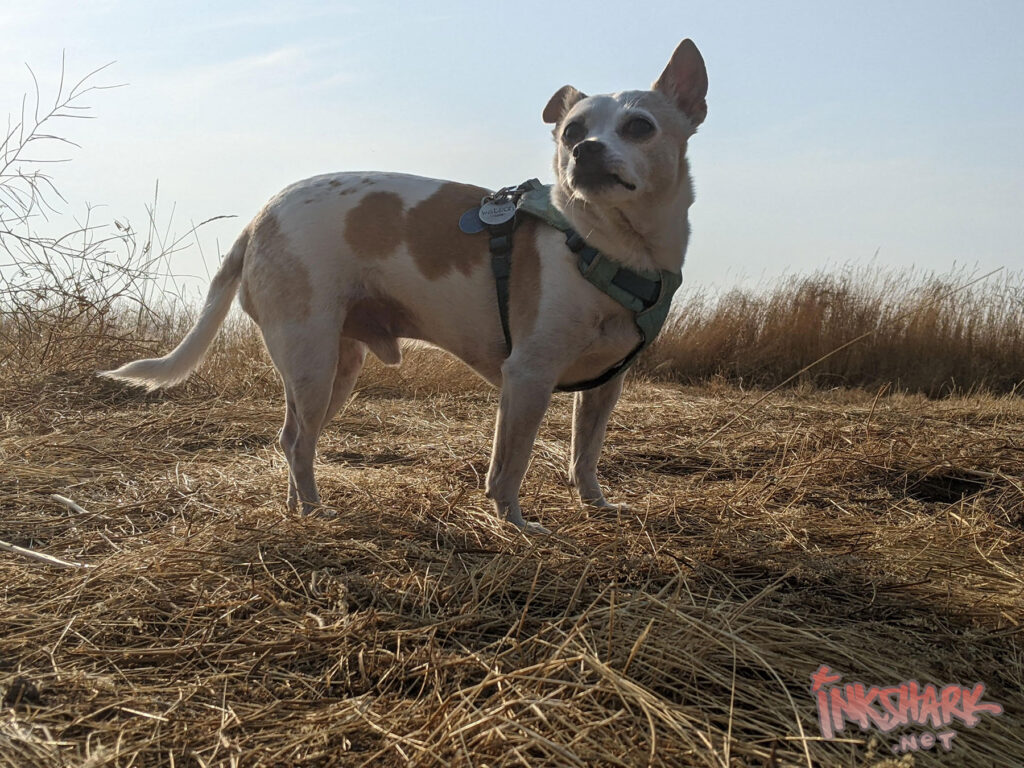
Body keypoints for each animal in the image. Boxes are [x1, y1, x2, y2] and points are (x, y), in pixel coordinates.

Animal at [105, 40, 712, 536]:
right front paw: (516, 525)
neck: (605, 243)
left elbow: (584, 454)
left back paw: (297, 509)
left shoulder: (606, 385)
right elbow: (509, 466)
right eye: (571, 132)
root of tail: (257, 221)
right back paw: (316, 510)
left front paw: (595, 505)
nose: (584, 152)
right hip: (312, 358)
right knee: (298, 442)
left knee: (292, 437)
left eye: (639, 127)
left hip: (335, 369)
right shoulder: (527, 377)